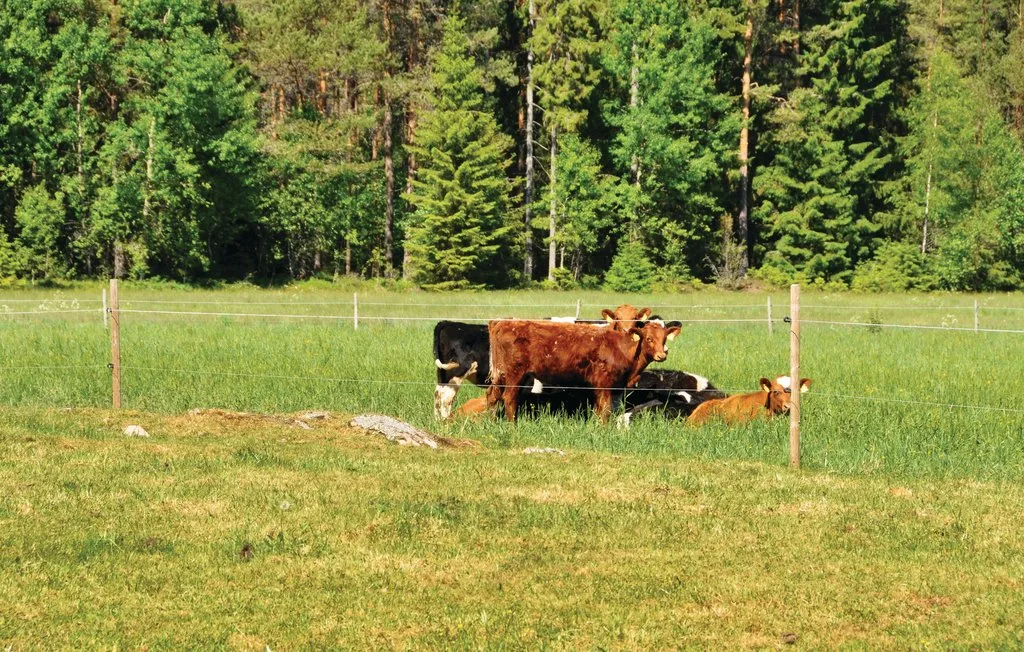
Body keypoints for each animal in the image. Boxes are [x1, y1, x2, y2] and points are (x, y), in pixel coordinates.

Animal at [433, 304, 654, 419]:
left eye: (638, 320)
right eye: (616, 319)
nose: (629, 333)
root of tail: (447, 323)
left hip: (445, 376)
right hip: (455, 376)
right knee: (445, 399)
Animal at [486, 319, 681, 423]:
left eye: (664, 339)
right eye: (648, 339)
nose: (662, 355)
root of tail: (502, 322)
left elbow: (600, 408)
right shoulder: (604, 384)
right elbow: (605, 409)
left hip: (503, 375)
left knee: (492, 396)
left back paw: (492, 421)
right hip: (514, 374)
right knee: (509, 398)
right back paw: (512, 425)